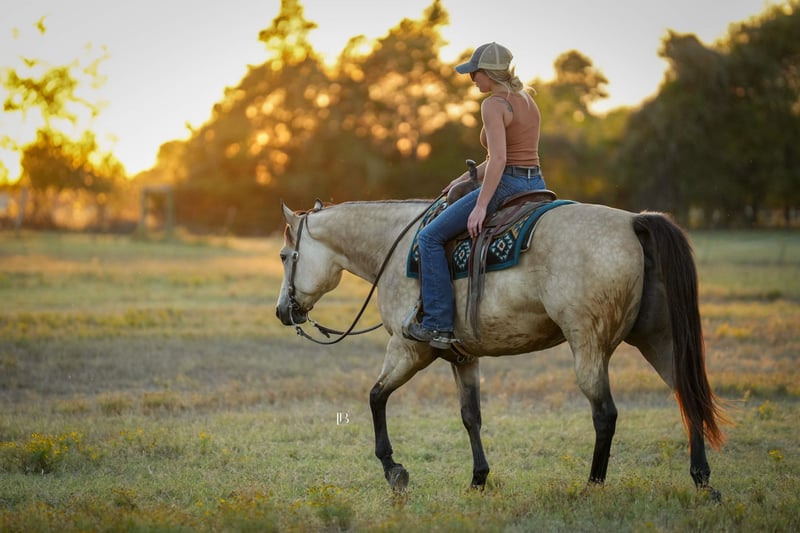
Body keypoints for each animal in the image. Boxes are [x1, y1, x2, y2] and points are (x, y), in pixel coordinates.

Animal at [275, 198, 725, 496]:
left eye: (283, 255)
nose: (282, 311)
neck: (398, 248)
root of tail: (634, 221)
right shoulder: (463, 357)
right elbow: (470, 417)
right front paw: (479, 478)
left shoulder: (408, 349)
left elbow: (375, 397)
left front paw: (393, 470)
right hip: (658, 339)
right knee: (687, 395)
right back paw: (702, 480)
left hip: (589, 346)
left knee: (605, 415)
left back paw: (593, 486)